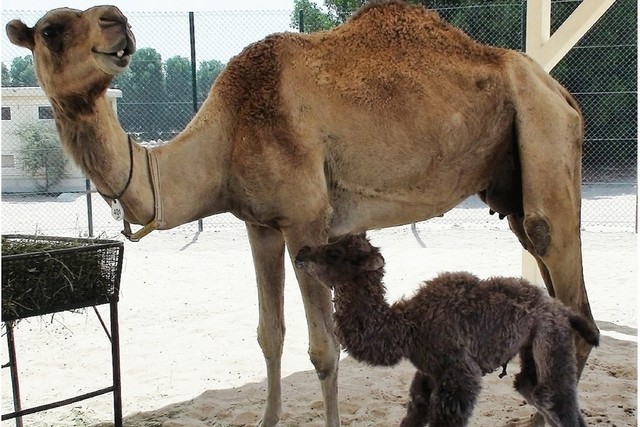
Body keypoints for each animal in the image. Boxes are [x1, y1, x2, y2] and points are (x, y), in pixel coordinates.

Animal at [294, 234, 600, 427]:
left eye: (335, 252)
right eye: (331, 241)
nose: (301, 252)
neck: (407, 329)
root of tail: (561, 309)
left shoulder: (459, 375)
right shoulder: (427, 375)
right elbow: (414, 414)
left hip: (551, 340)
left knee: (554, 398)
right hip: (532, 349)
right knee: (530, 388)